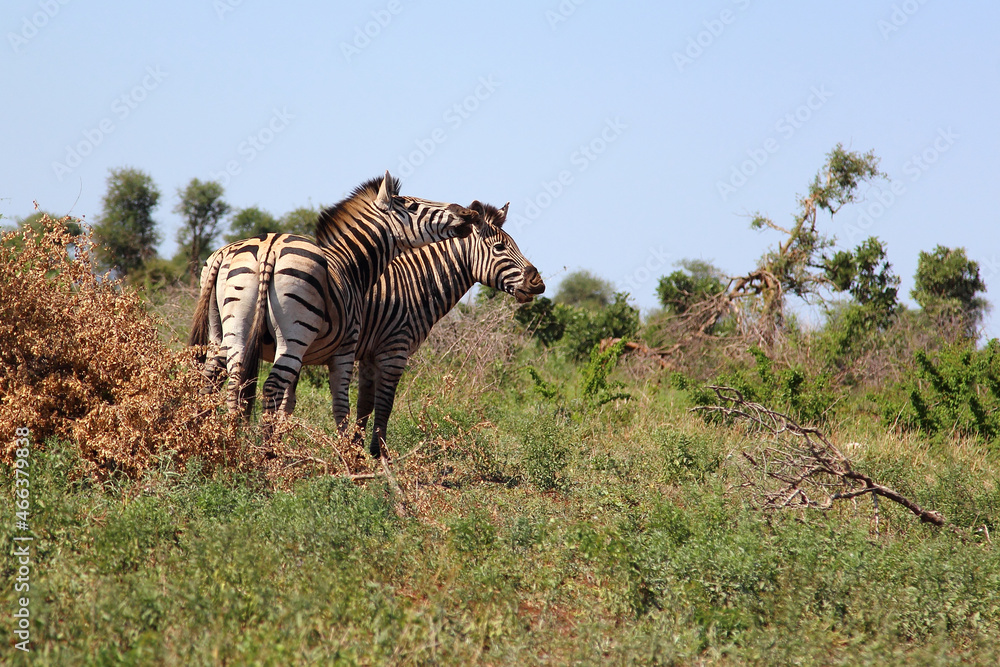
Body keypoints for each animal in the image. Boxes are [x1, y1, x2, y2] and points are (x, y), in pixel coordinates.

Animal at [188, 172, 480, 425]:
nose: (468, 213)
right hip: (294, 336)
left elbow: (290, 402)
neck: (350, 265)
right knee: (269, 386)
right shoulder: (347, 348)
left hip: (229, 331)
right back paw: (259, 449)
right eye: (413, 205)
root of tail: (269, 246)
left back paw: (221, 440)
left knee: (222, 382)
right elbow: (341, 407)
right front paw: (347, 454)